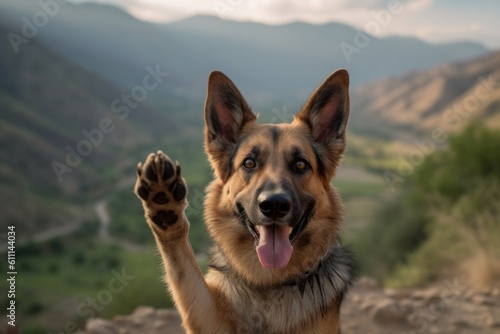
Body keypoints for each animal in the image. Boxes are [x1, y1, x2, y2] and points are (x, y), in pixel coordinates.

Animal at [134, 69, 356, 332]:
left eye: (300, 164)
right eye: (249, 163)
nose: (274, 205)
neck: (270, 285)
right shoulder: (209, 317)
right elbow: (183, 268)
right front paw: (164, 204)